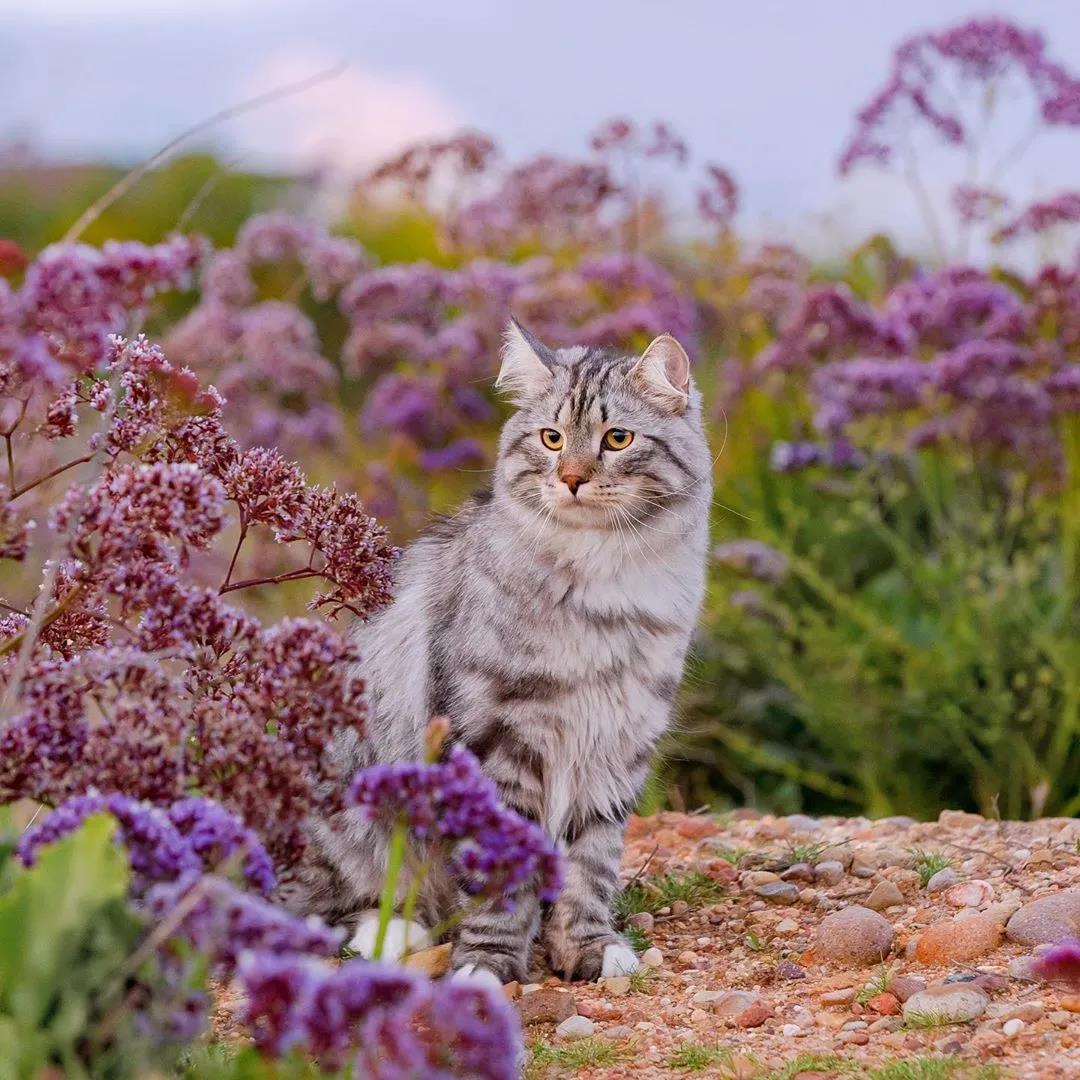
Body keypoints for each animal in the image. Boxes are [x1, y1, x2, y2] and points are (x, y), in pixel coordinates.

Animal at [282, 321, 712, 989]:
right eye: (551, 438)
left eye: (617, 438)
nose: (571, 478)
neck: (602, 587)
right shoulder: (496, 738)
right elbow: (497, 880)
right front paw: (487, 964)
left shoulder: (617, 742)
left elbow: (591, 866)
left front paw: (591, 950)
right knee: (301, 905)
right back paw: (391, 931)